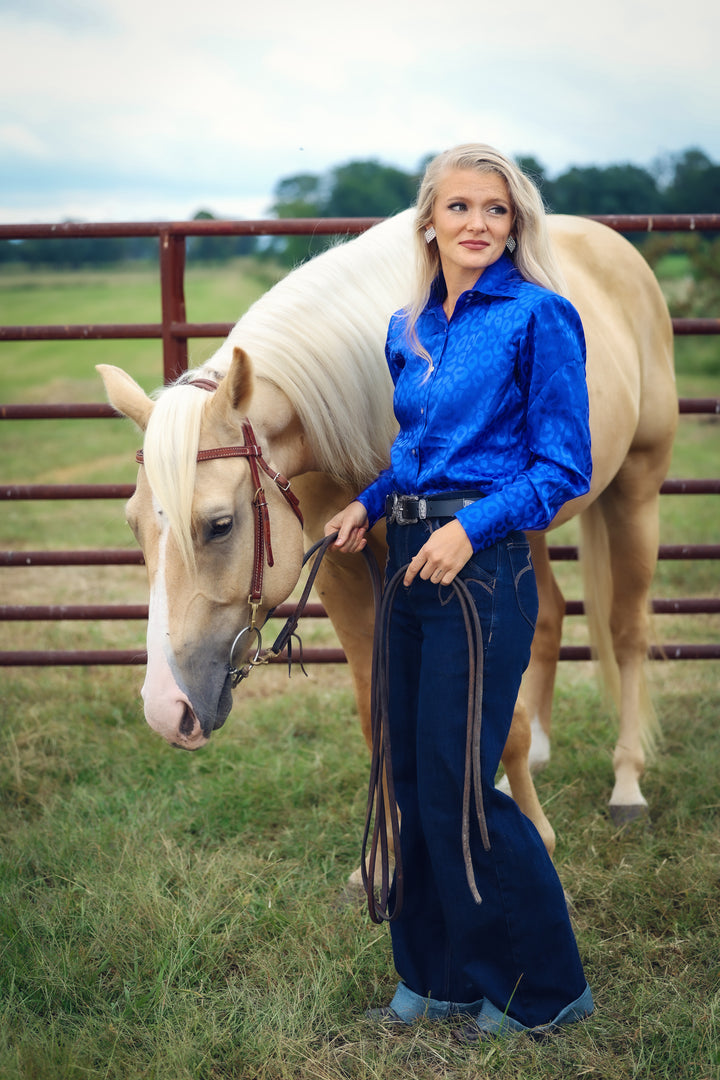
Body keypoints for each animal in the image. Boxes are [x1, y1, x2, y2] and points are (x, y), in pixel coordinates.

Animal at [98, 208, 677, 842]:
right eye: (132, 526)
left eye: (220, 525)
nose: (165, 710)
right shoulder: (344, 571)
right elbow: (378, 715)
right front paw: (388, 855)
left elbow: (499, 724)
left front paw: (534, 833)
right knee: (548, 615)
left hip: (635, 491)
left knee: (626, 631)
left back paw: (627, 785)